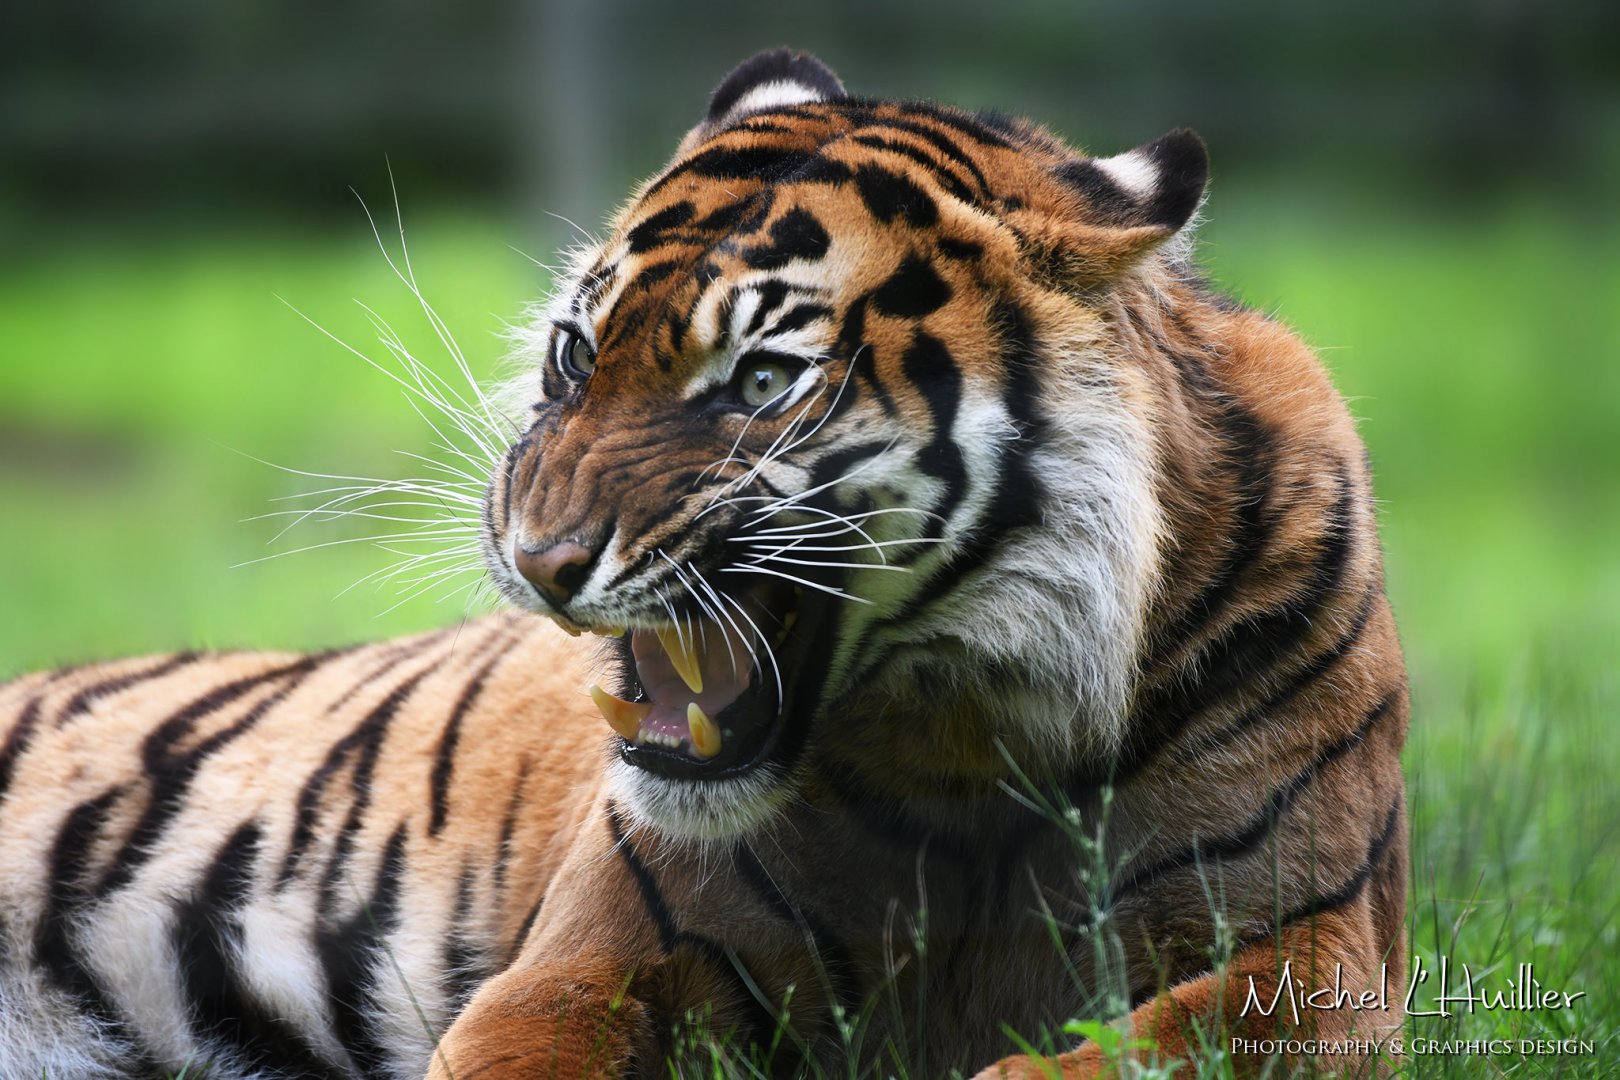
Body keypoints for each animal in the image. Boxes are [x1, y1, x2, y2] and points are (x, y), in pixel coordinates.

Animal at [0, 48, 1409, 1079]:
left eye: (763, 381)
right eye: (576, 354)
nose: (540, 563)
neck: (965, 743)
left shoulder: (1325, 944)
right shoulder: (589, 959)